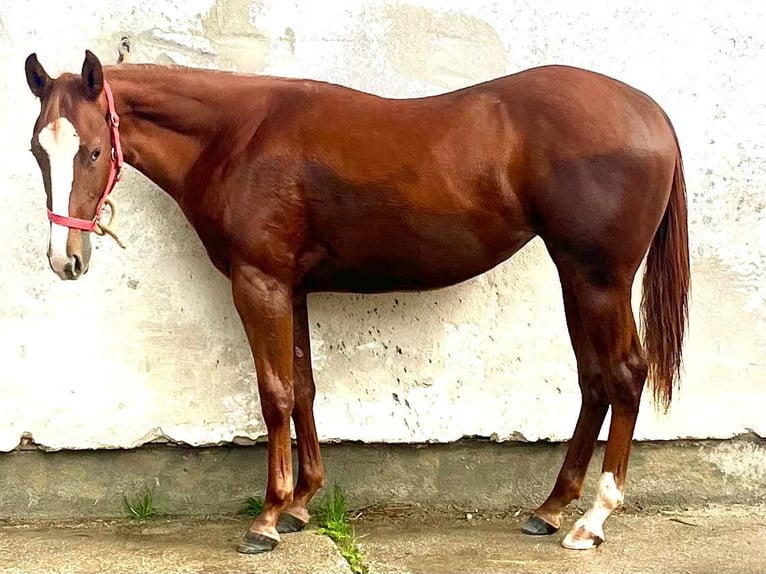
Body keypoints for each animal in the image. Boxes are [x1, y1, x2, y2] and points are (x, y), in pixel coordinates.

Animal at [24, 50, 689, 554]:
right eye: (36, 149)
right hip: (575, 275)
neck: (237, 137)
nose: (65, 258)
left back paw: (592, 520)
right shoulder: (289, 287)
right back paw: (550, 508)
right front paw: (301, 503)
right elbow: (303, 386)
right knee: (594, 380)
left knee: (625, 375)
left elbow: (275, 395)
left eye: (92, 150)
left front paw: (268, 519)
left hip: (599, 279)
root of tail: (651, 112)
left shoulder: (259, 283)